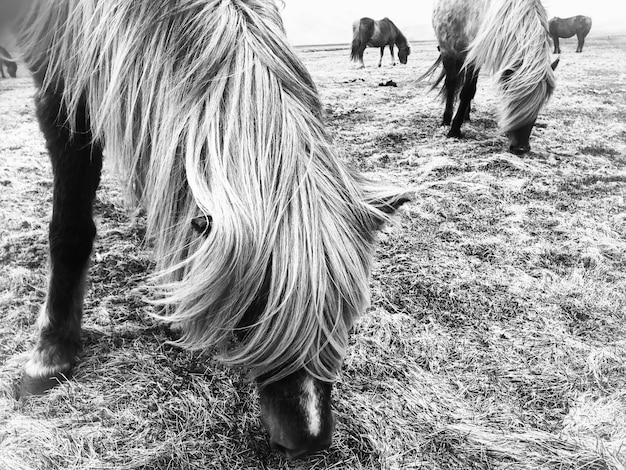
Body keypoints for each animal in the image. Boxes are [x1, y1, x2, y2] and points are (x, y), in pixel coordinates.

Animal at [4, 0, 408, 460]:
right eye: (251, 316)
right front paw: (51, 353)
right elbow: (69, 229)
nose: (309, 442)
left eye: (346, 316)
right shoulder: (58, 79)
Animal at [422, 0, 560, 155]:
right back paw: (446, 119)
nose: (521, 148)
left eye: (540, 104)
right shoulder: (472, 57)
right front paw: (454, 130)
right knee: (451, 85)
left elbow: (470, 91)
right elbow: (466, 91)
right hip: (449, 51)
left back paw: (466, 116)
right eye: (511, 99)